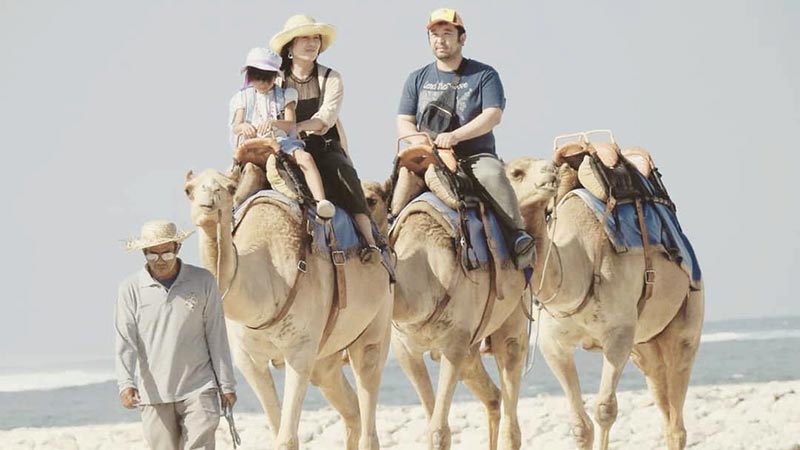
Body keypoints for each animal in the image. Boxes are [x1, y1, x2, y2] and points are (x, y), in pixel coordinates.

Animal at [182, 169, 394, 450]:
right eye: (189, 189)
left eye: (230, 187)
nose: (207, 204)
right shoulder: (247, 358)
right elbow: (275, 429)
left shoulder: (300, 350)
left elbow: (286, 438)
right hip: (325, 358)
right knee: (350, 408)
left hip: (378, 322)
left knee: (368, 376)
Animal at [368, 170, 532, 450]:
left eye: (371, 200)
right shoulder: (404, 350)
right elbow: (431, 422)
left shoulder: (454, 344)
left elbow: (439, 431)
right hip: (472, 348)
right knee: (493, 396)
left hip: (512, 321)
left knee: (511, 418)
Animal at [510, 156, 704, 450]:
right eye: (515, 172)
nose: (550, 173)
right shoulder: (553, 344)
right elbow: (580, 426)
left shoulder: (619, 334)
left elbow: (605, 410)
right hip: (644, 348)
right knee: (663, 398)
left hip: (687, 322)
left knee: (677, 418)